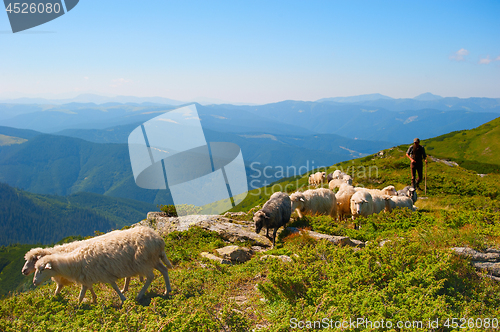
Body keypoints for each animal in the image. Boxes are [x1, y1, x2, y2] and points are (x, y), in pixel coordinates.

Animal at [33, 226, 173, 304]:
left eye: (41, 269)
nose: (34, 282)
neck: (74, 261)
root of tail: (158, 238)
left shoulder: (105, 274)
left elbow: (114, 287)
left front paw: (123, 299)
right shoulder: (86, 278)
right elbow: (82, 294)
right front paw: (80, 305)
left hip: (143, 262)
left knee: (150, 277)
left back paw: (140, 295)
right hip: (153, 260)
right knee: (164, 270)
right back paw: (167, 290)